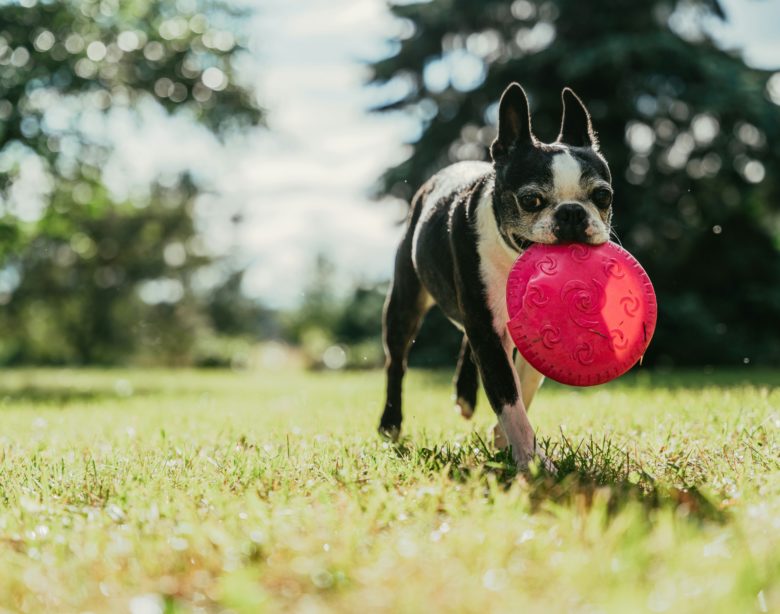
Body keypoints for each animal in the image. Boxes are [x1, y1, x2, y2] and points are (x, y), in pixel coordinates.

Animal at [380, 83, 616, 472]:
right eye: (531, 199)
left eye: (603, 196)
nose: (572, 213)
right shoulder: (487, 329)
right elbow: (508, 394)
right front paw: (533, 461)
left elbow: (525, 381)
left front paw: (506, 440)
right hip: (404, 304)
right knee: (396, 362)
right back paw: (390, 424)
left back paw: (465, 396)